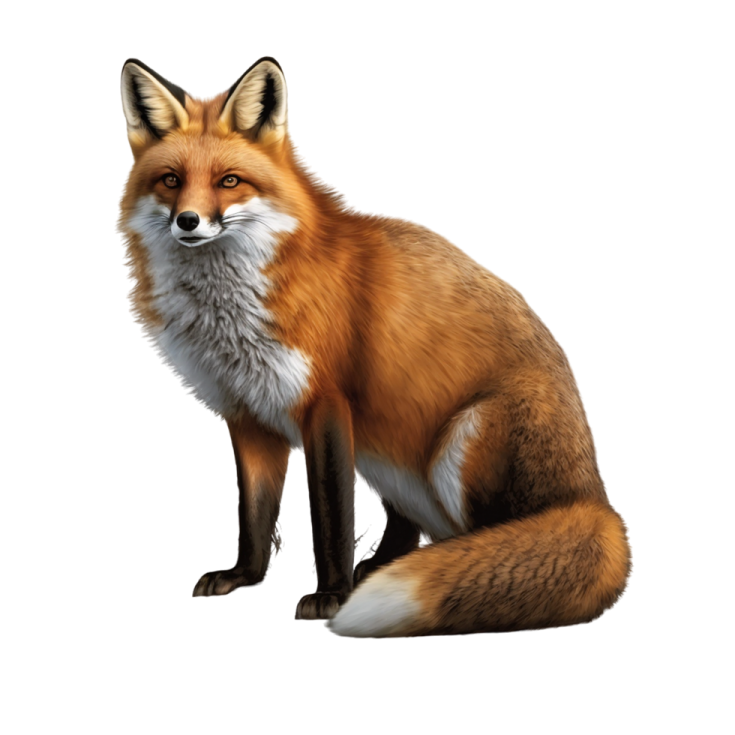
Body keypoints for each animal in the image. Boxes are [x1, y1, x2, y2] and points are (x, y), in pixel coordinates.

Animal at [117, 55, 633, 637]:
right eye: (171, 181)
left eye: (229, 181)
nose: (188, 221)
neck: (229, 314)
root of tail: (596, 499)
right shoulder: (247, 412)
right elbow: (254, 515)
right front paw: (243, 578)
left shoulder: (325, 402)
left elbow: (331, 512)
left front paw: (330, 596)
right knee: (415, 528)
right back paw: (382, 568)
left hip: (464, 440)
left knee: (491, 543)